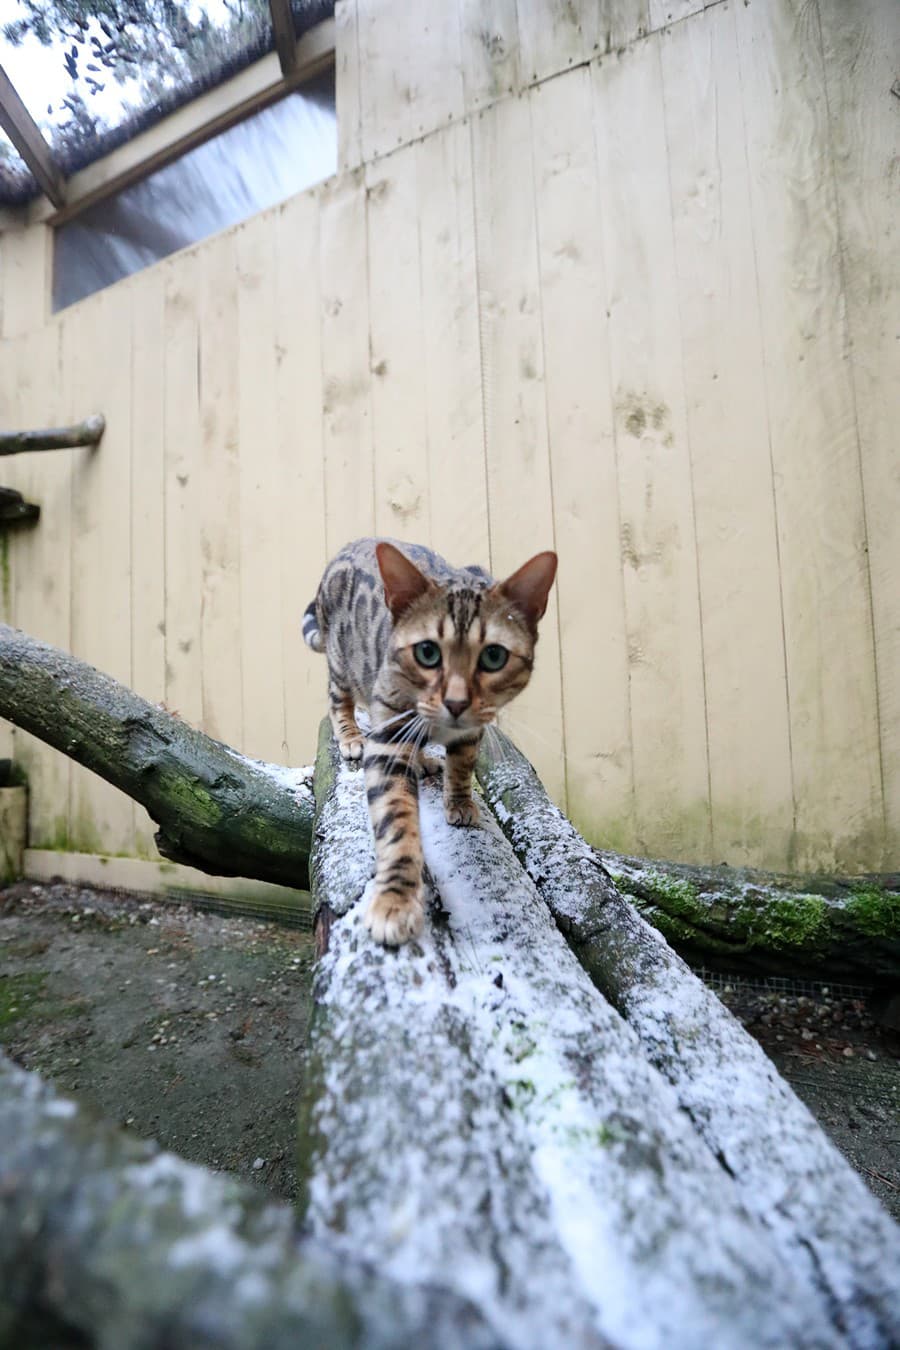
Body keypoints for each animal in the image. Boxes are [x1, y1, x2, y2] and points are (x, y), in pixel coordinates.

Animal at [302, 537, 555, 950]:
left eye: (494, 656)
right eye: (427, 652)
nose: (456, 703)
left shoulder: (470, 731)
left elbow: (463, 765)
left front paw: (460, 800)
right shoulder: (389, 735)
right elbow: (397, 823)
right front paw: (396, 900)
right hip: (342, 662)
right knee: (338, 698)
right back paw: (351, 736)